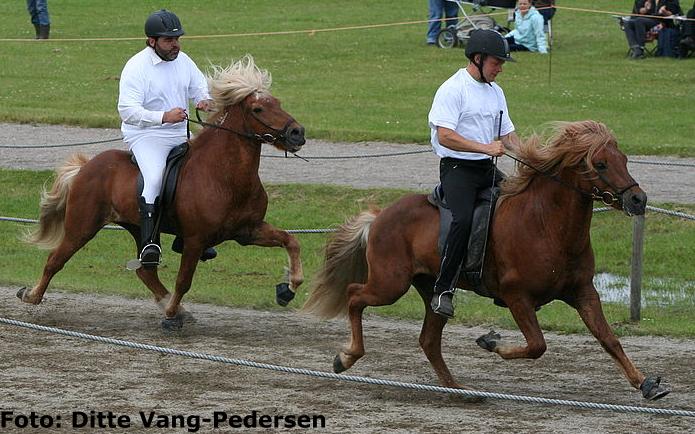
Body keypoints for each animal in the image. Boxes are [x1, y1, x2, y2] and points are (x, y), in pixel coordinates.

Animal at [18, 56, 304, 330]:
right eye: (258, 109)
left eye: (277, 102)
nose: (297, 133)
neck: (225, 177)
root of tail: (87, 166)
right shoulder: (195, 240)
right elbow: (184, 280)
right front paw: (170, 316)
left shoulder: (248, 230)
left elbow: (291, 241)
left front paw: (287, 289)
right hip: (82, 227)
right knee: (55, 259)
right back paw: (31, 296)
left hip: (139, 228)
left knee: (145, 271)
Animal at [308, 120, 672, 402]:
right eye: (599, 164)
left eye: (624, 159)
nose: (638, 199)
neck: (546, 225)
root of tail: (380, 215)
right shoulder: (516, 297)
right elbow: (537, 345)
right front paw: (491, 342)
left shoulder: (583, 292)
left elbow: (609, 339)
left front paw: (646, 385)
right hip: (389, 285)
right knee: (355, 295)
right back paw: (346, 357)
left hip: (435, 293)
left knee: (429, 340)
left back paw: (459, 390)